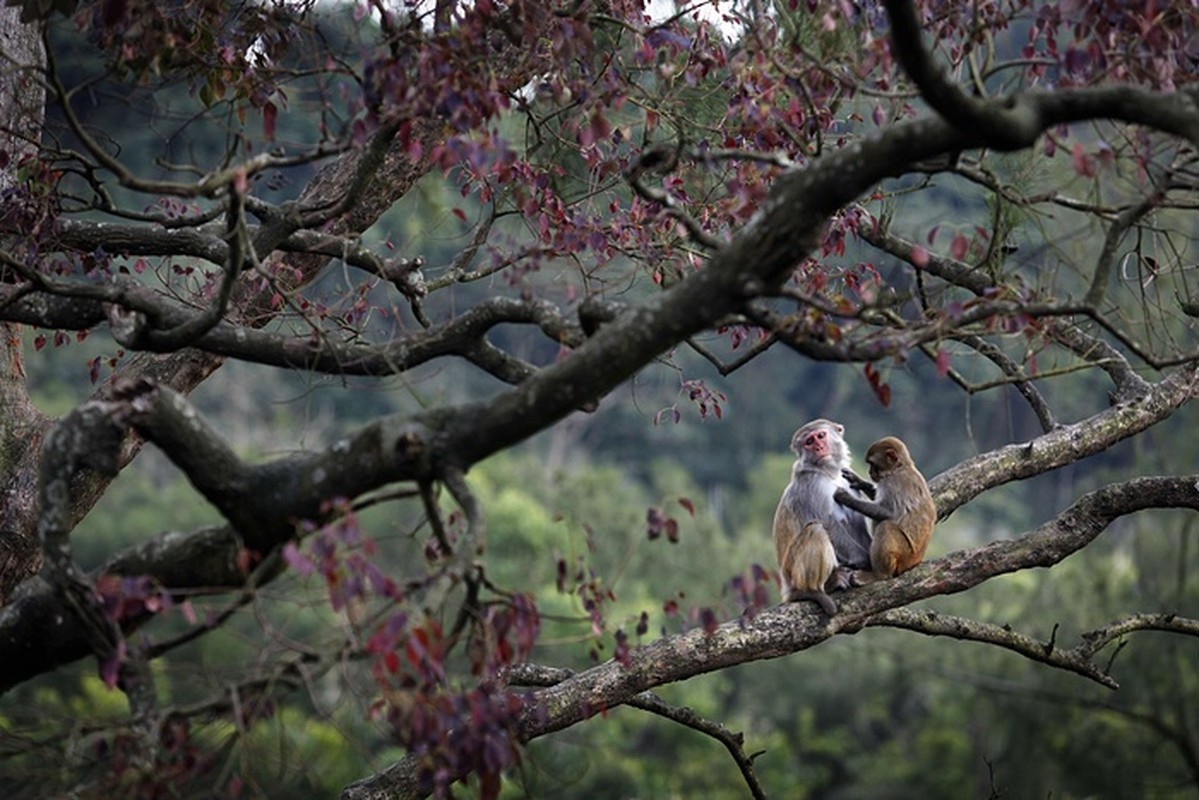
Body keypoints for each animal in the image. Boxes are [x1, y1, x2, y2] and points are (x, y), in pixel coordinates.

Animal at [776, 417, 872, 604]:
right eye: (809, 442)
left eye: (820, 436)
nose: (818, 447)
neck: (828, 473)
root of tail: (787, 588)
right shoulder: (811, 486)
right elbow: (828, 524)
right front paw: (867, 561)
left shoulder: (847, 482)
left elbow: (856, 523)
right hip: (794, 572)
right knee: (816, 530)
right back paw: (822, 586)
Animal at [834, 434, 935, 585]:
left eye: (872, 463)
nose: (870, 472)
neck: (899, 467)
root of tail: (915, 562)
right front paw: (858, 480)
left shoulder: (893, 483)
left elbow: (887, 512)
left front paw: (846, 498)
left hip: (905, 553)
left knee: (886, 527)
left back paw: (879, 574)